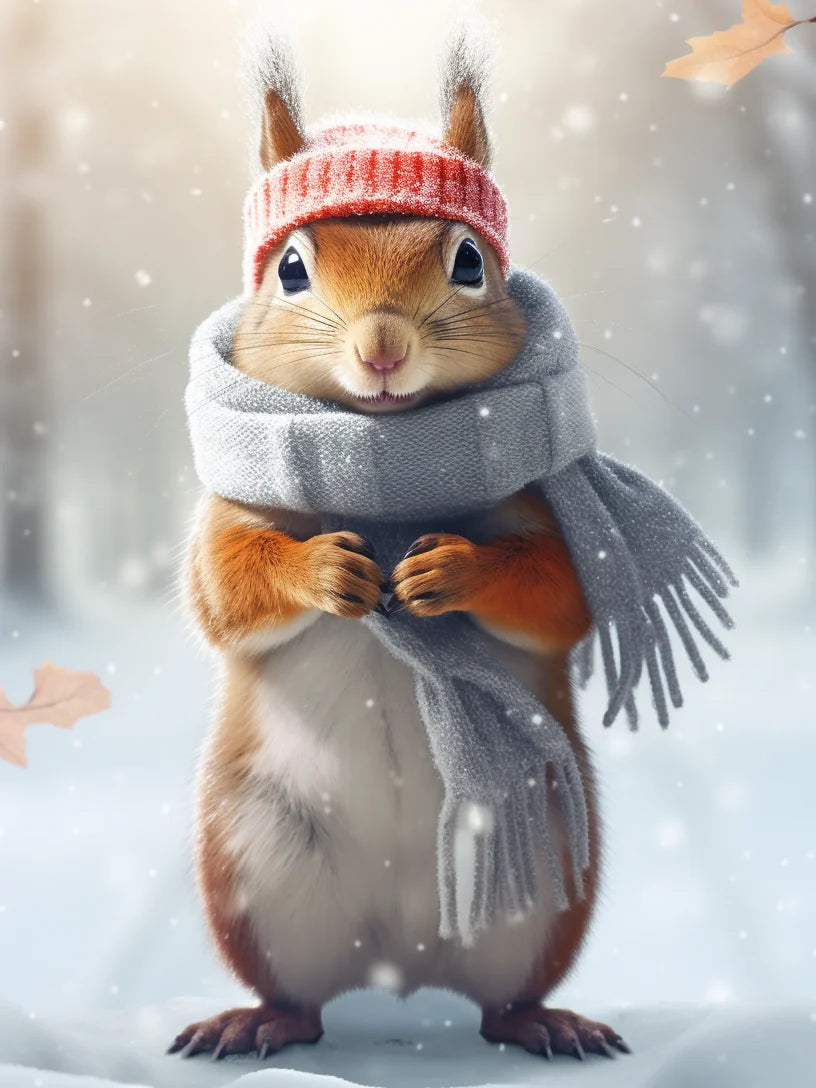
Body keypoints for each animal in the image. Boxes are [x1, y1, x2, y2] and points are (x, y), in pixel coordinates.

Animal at [170, 34, 630, 1065]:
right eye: (290, 270)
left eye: (469, 259)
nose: (382, 347)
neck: (383, 451)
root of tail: (402, 970)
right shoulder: (225, 509)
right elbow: (227, 591)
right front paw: (323, 568)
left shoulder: (542, 517)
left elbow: (558, 594)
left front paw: (449, 568)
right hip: (252, 874)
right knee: (298, 996)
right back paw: (258, 1020)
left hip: (545, 893)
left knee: (505, 1000)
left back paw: (545, 1021)